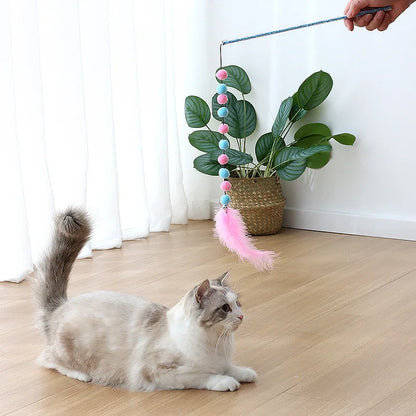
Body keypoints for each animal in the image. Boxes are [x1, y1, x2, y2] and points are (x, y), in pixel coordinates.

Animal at [35, 210, 256, 392]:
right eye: (225, 308)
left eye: (238, 304)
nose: (242, 316)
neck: (216, 342)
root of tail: (62, 304)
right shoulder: (164, 372)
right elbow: (206, 376)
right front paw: (226, 382)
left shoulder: (222, 362)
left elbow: (231, 368)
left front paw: (246, 374)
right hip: (68, 353)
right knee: (49, 361)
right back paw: (81, 375)